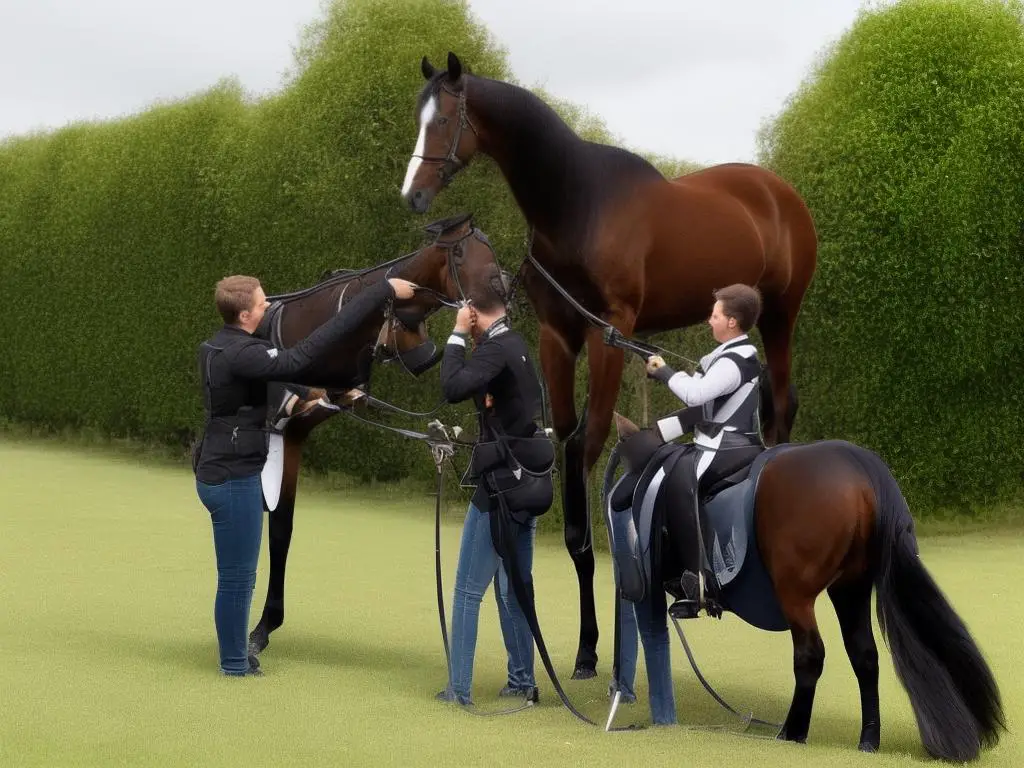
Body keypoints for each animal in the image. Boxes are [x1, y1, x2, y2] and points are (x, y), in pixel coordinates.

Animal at [247, 214, 503, 659]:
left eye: (489, 248)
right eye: (459, 252)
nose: (503, 288)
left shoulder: (296, 432)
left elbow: (281, 525)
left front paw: (266, 622)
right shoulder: (281, 431)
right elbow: (277, 524)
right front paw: (262, 626)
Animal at [397, 52, 815, 679]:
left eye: (444, 119)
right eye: (418, 117)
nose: (413, 196)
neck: (578, 204)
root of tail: (781, 195)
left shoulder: (608, 335)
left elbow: (586, 449)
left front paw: (604, 643)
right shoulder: (558, 337)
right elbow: (564, 447)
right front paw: (588, 647)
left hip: (782, 318)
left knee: (781, 403)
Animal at [610, 411, 1003, 761]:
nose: (617, 496)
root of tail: (858, 465)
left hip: (795, 594)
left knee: (810, 655)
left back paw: (793, 731)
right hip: (850, 588)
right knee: (864, 655)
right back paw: (868, 738)